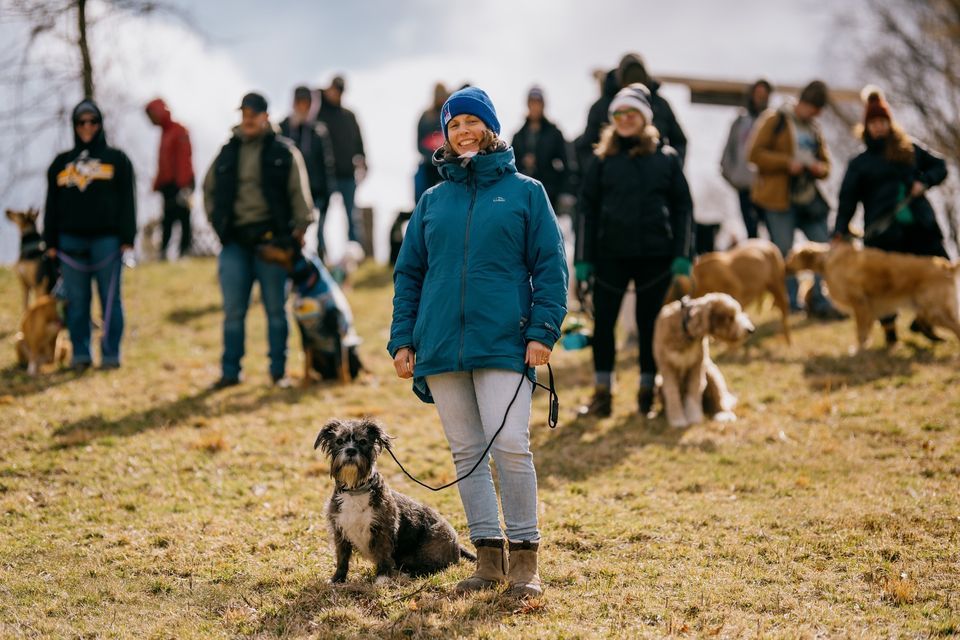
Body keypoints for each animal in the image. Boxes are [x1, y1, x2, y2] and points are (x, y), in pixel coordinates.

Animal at [316, 418, 476, 584]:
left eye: (363, 441)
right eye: (339, 441)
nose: (351, 451)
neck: (355, 489)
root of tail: (457, 545)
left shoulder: (383, 530)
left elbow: (383, 555)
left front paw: (382, 578)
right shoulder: (339, 530)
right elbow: (342, 558)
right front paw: (337, 579)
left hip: (432, 544)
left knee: (430, 568)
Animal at [652, 296, 756, 430]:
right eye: (730, 317)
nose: (750, 330)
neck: (684, 332)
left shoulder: (697, 365)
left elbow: (694, 390)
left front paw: (694, 417)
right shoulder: (667, 367)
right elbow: (672, 392)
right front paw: (677, 420)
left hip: (711, 372)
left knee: (718, 400)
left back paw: (723, 414)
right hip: (659, 383)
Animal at [788, 240, 960, 350]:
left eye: (791, 256)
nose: (785, 266)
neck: (826, 260)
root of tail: (947, 266)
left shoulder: (859, 302)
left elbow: (860, 331)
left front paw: (859, 350)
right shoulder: (868, 307)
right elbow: (867, 329)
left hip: (935, 310)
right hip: (927, 308)